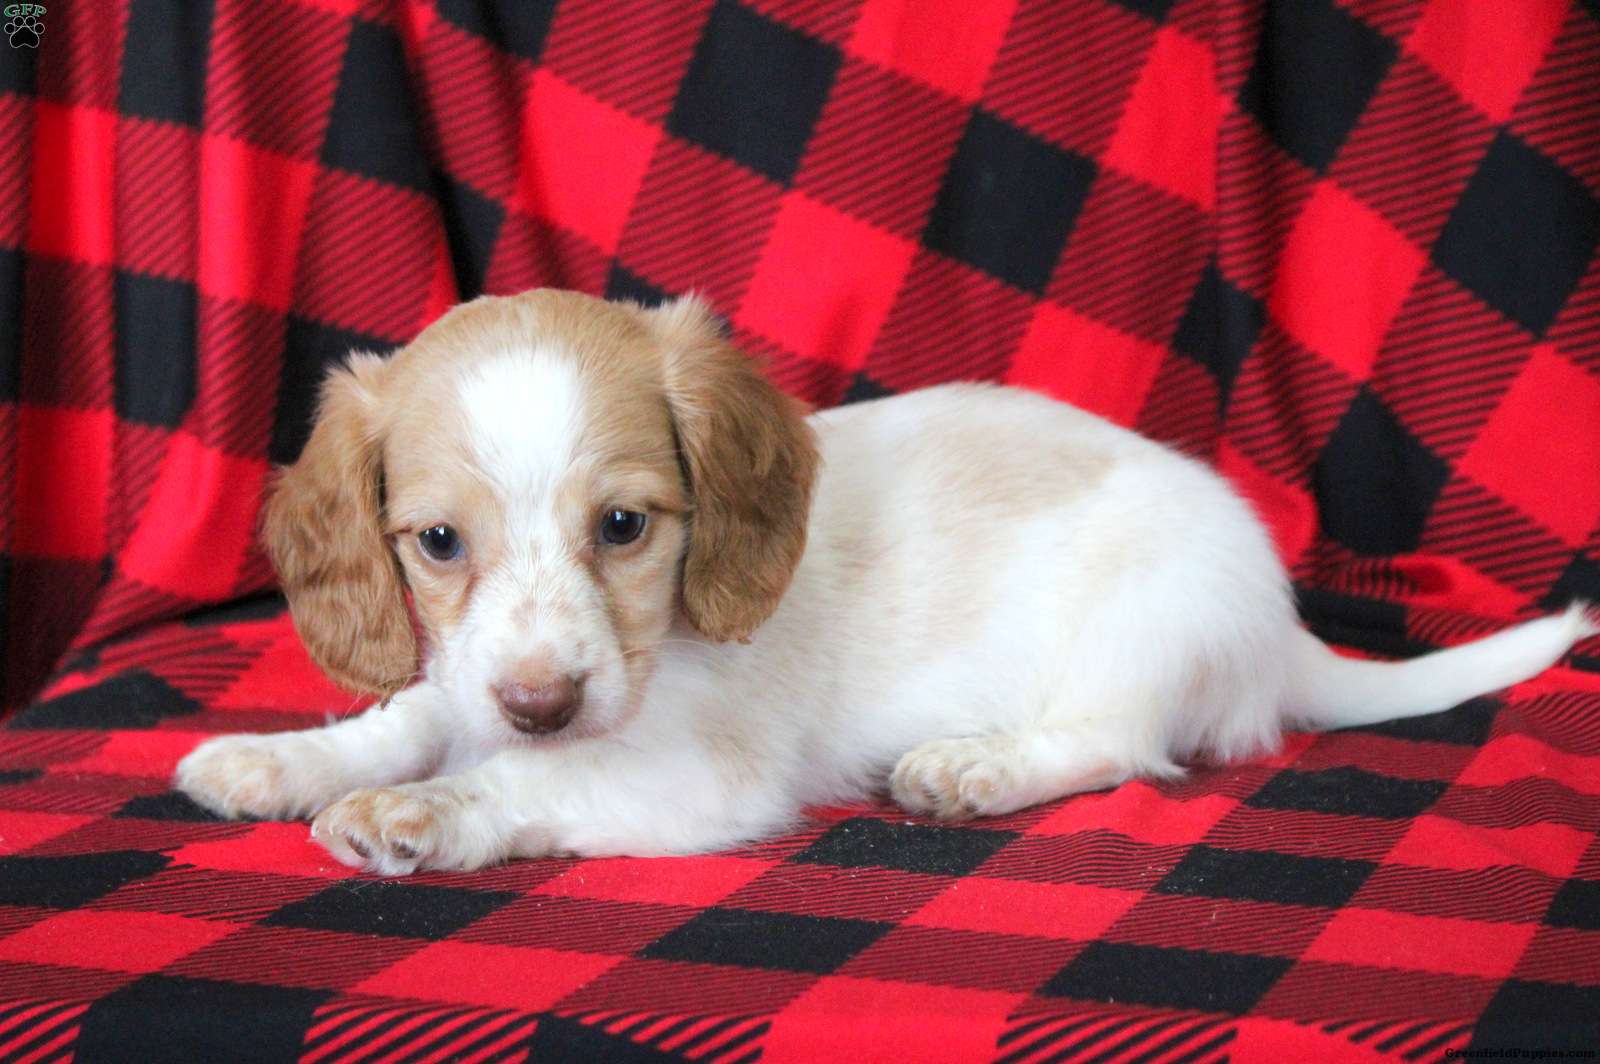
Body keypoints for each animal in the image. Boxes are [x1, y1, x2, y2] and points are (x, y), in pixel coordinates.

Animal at [175, 289, 1597, 875]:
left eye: (623, 525)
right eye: (437, 544)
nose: (535, 701)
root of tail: (1283, 623)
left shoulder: (695, 776)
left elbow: (522, 782)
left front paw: (417, 813)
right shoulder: (468, 678)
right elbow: (413, 714)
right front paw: (284, 759)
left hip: (1138, 629)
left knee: (1117, 743)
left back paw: (973, 766)